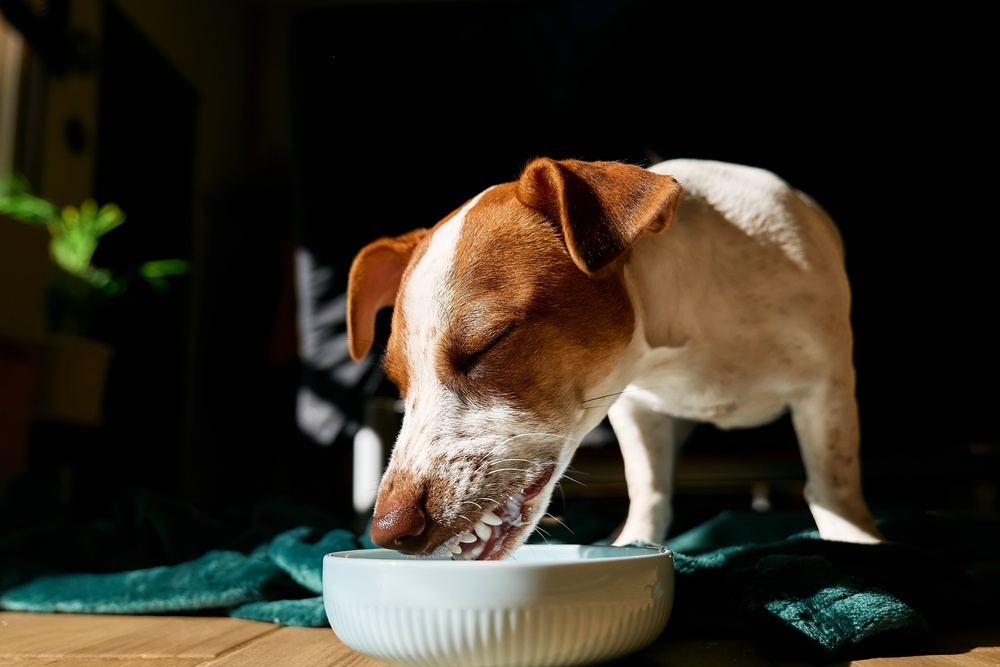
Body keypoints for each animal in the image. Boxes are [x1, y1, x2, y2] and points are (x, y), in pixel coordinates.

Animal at [346, 159, 884, 560]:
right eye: (399, 384)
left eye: (488, 342)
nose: (387, 531)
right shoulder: (636, 409)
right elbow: (648, 486)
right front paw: (635, 541)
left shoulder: (827, 387)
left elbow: (833, 484)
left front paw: (855, 544)